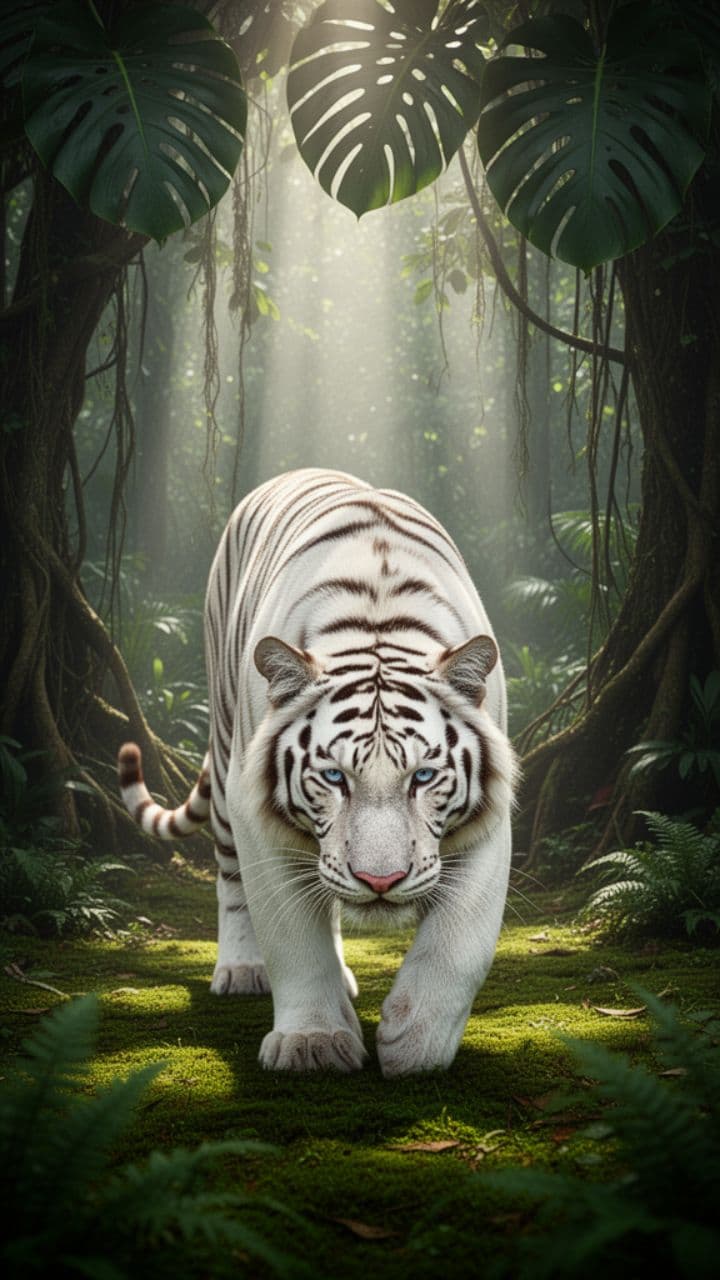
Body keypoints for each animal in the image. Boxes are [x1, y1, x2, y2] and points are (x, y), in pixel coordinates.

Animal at [118, 468, 516, 1076]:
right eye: (334, 778)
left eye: (423, 778)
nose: (380, 882)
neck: (379, 622)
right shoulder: (258, 821)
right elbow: (292, 939)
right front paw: (313, 1043)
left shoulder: (489, 823)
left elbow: (460, 941)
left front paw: (415, 1041)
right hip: (227, 758)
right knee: (232, 881)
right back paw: (241, 970)